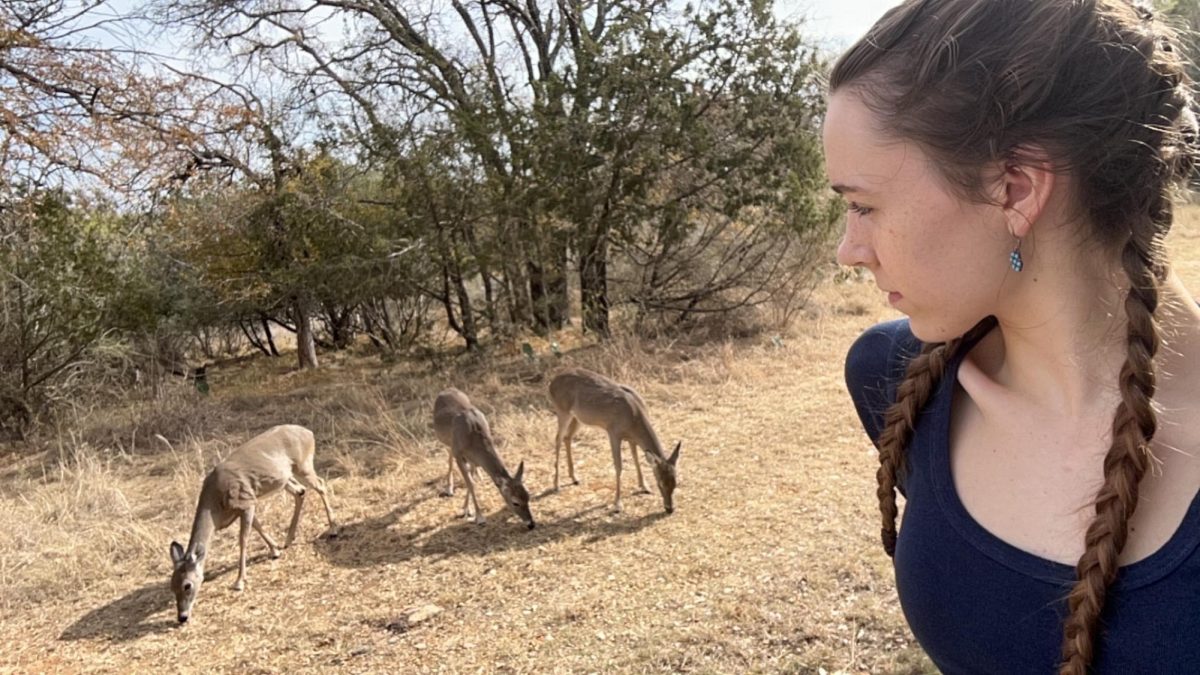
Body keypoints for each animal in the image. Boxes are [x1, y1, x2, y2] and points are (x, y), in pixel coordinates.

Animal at [168, 422, 338, 624]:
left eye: (187, 585)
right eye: (172, 586)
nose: (182, 617)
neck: (215, 506)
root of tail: (308, 432)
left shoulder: (245, 501)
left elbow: (243, 539)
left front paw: (239, 582)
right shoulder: (247, 504)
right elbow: (258, 526)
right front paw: (275, 550)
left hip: (303, 465)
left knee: (320, 484)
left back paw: (333, 528)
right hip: (285, 477)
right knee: (301, 492)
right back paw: (288, 539)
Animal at [432, 386, 535, 528]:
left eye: (528, 496)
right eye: (515, 502)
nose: (531, 523)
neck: (474, 437)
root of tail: (447, 389)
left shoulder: (473, 457)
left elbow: (471, 480)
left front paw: (466, 509)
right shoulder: (459, 452)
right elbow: (470, 483)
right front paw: (479, 516)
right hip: (447, 442)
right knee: (449, 459)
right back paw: (449, 488)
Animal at [549, 365, 681, 511]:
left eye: (675, 482)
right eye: (660, 483)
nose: (669, 508)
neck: (634, 417)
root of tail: (552, 382)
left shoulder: (631, 438)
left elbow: (636, 459)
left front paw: (644, 486)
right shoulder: (613, 432)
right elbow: (619, 466)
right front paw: (617, 503)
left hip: (577, 418)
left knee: (567, 437)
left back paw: (574, 477)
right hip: (562, 410)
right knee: (558, 439)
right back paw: (556, 485)